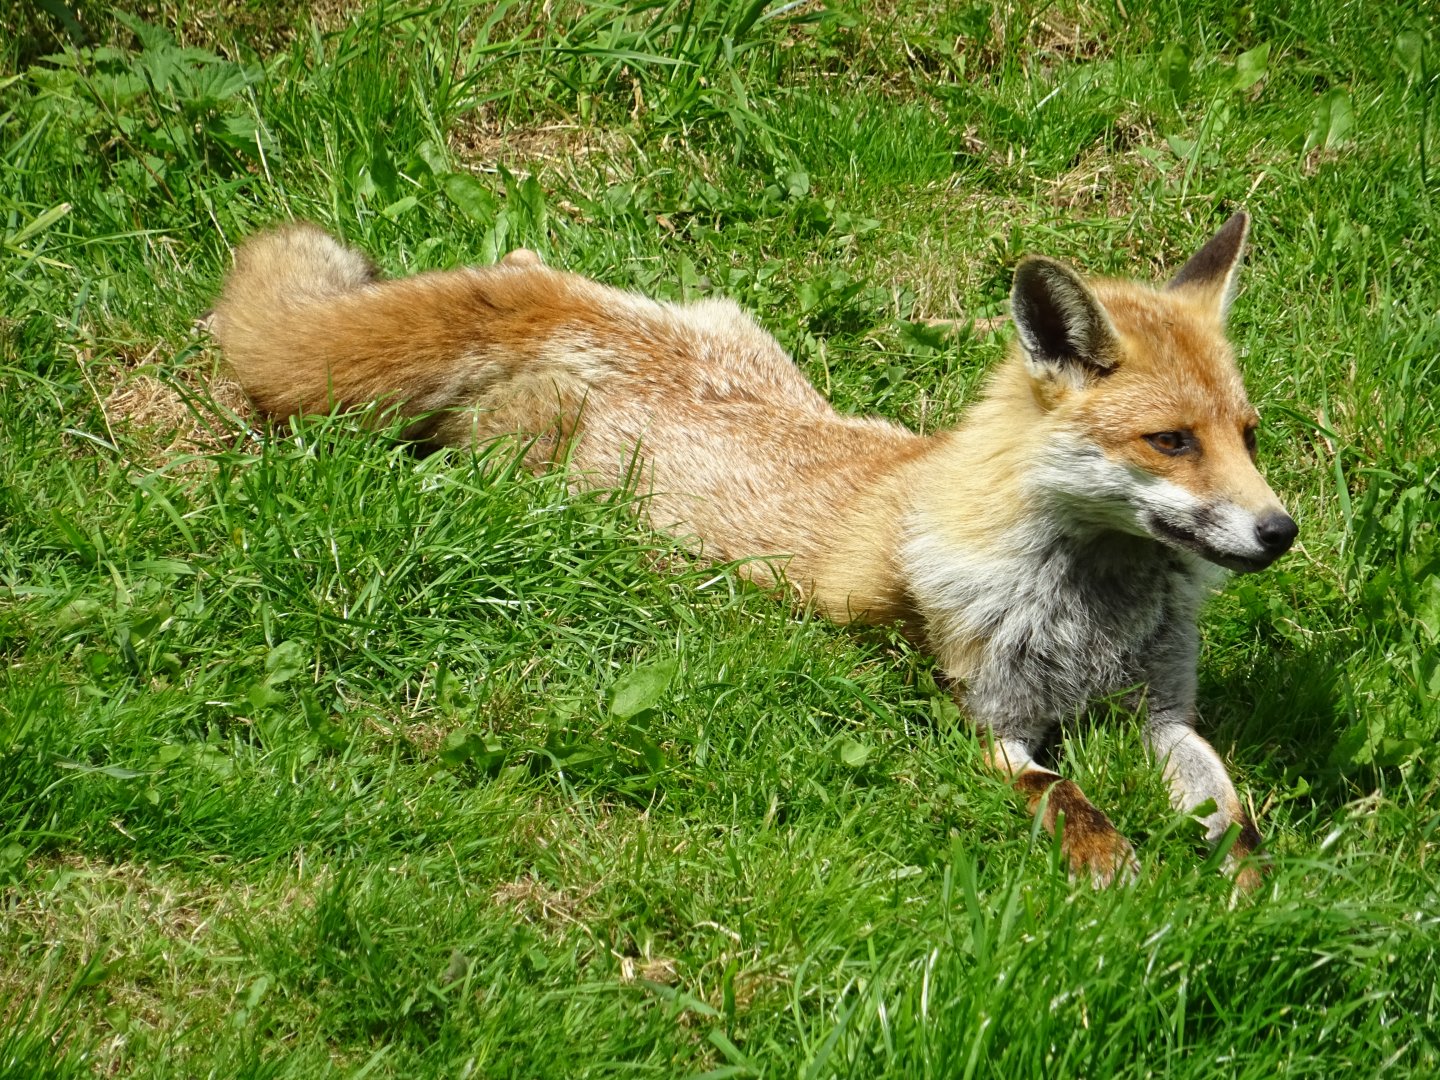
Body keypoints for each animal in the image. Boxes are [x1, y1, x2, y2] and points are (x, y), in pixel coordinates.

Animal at [211, 211, 1296, 888]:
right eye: (1171, 442)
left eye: (1248, 435)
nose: (1280, 531)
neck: (1089, 621)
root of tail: (571, 312)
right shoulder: (988, 718)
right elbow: (1065, 797)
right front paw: (1117, 870)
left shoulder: (1161, 712)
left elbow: (1233, 808)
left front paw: (1251, 890)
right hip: (524, 474)